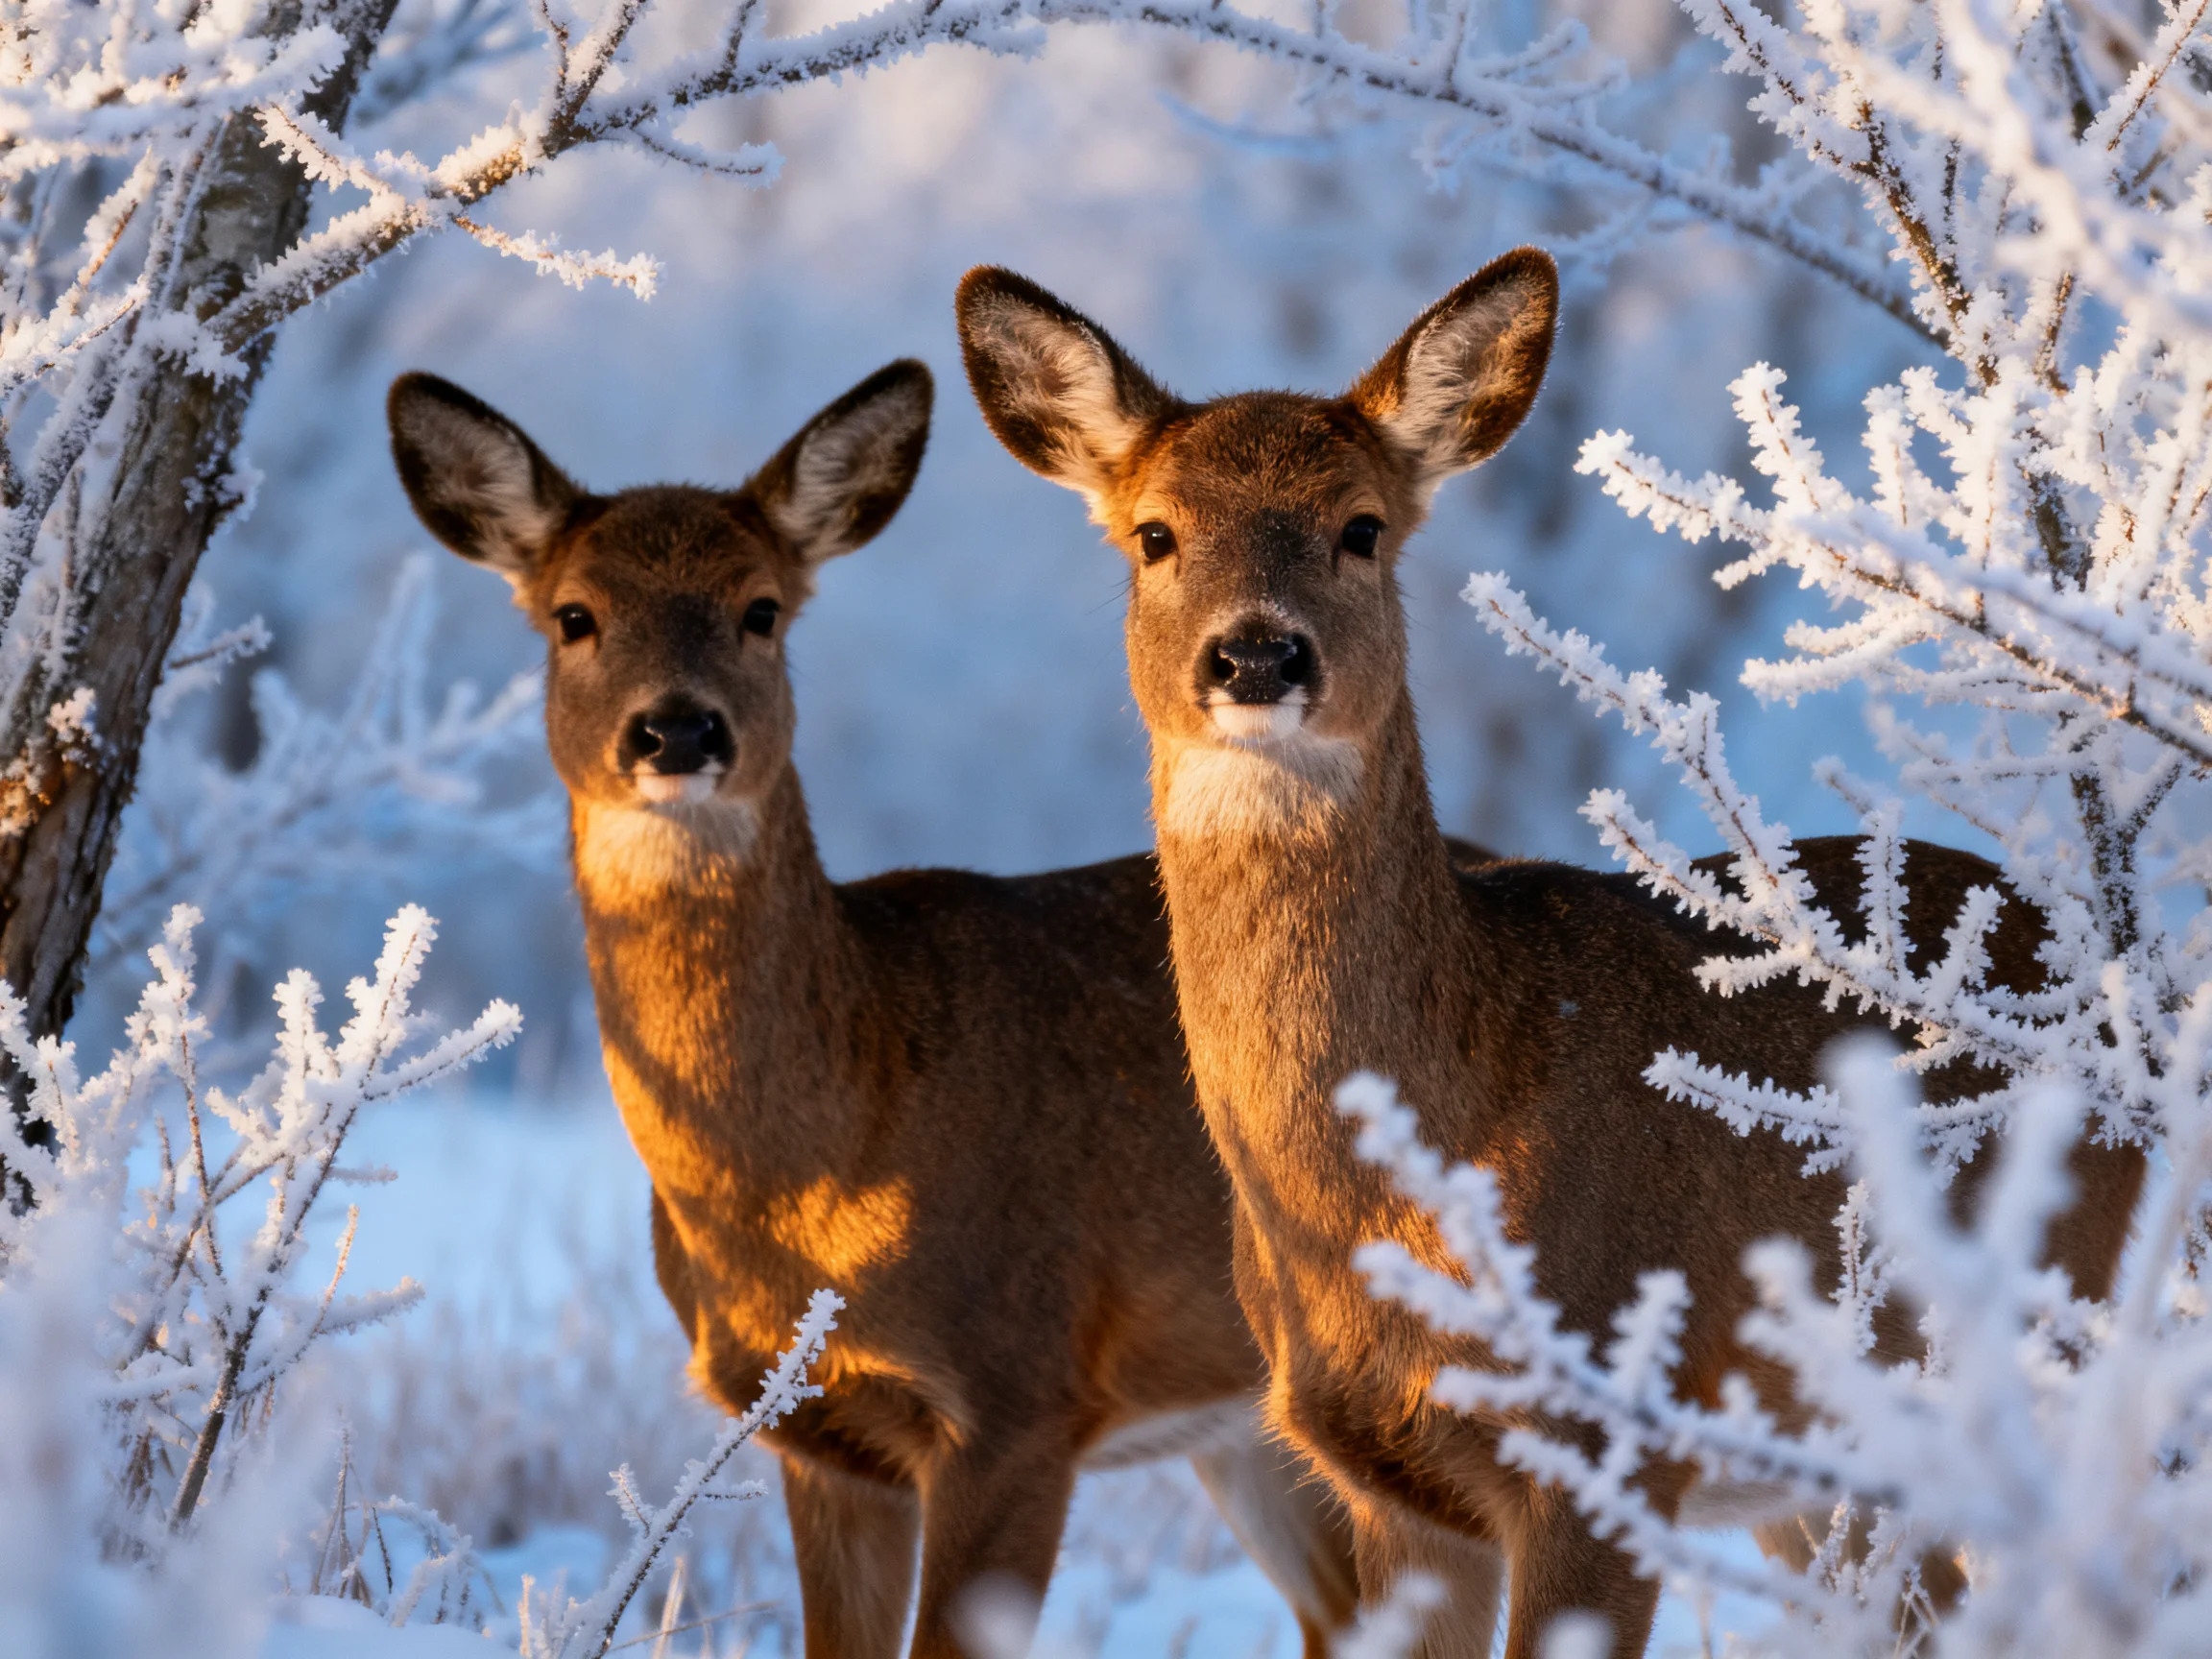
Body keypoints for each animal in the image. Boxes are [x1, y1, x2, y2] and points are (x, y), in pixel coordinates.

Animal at [385, 361, 1373, 1659]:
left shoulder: (1016, 1394)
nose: (678, 728)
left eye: (761, 609)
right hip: (1253, 1427)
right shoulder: (815, 1430)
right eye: (573, 615)